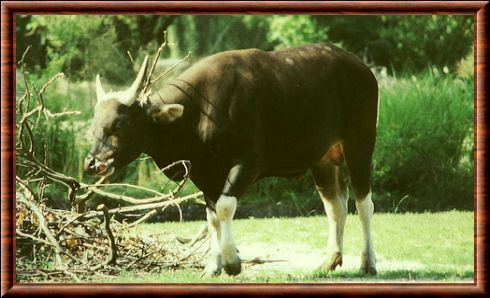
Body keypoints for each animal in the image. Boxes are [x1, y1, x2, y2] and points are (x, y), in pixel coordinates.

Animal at [85, 44, 378, 278]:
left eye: (119, 124)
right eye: (95, 123)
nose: (92, 163)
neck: (200, 110)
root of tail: (363, 69)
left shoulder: (248, 164)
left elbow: (225, 207)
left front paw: (232, 262)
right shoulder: (206, 173)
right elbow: (213, 216)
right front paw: (213, 265)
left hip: (360, 145)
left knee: (363, 203)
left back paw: (368, 262)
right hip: (323, 158)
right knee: (335, 205)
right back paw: (330, 260)